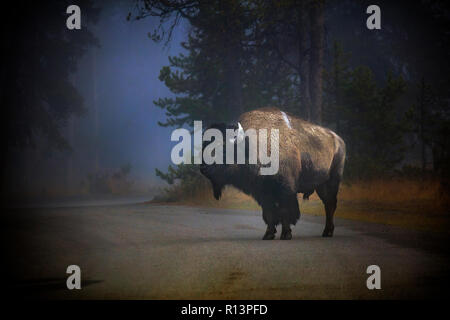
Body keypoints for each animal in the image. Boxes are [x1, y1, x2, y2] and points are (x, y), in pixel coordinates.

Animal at [200, 107, 344, 240]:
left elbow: (285, 211)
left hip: (331, 182)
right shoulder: (263, 193)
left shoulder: (286, 190)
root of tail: (338, 140)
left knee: (330, 204)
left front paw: (286, 234)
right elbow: (269, 213)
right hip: (321, 185)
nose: (203, 168)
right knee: (328, 204)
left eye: (222, 149)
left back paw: (327, 232)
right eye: (203, 146)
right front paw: (268, 234)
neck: (249, 146)